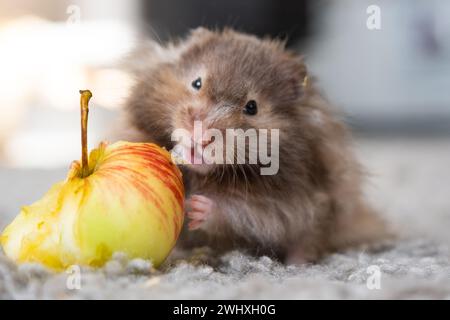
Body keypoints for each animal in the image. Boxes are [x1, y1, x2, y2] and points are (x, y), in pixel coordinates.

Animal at [124, 27, 390, 264]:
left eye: (252, 107)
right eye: (196, 83)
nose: (202, 135)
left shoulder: (287, 205)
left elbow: (244, 212)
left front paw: (196, 206)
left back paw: (298, 263)